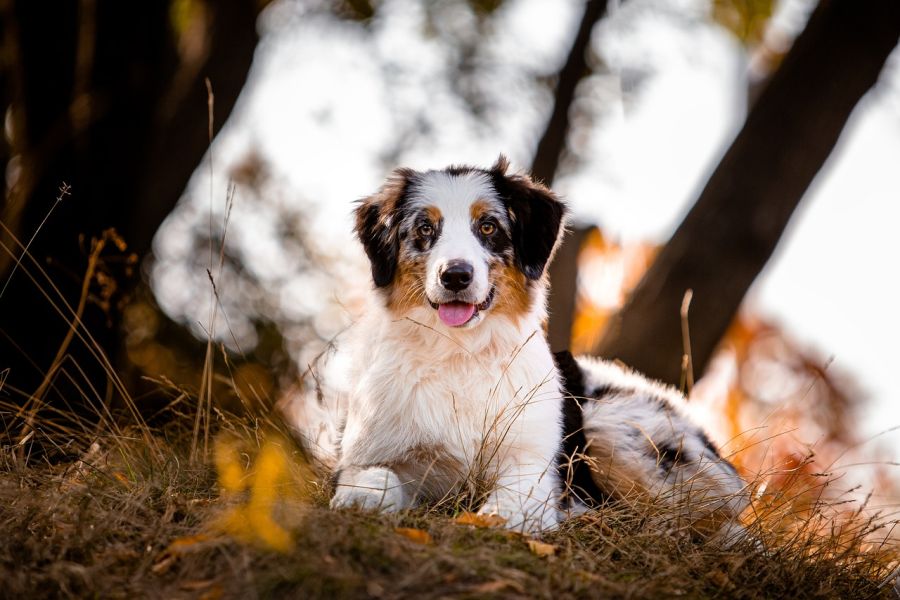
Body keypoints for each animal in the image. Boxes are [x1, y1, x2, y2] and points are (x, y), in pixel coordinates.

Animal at [284, 155, 748, 540]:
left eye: (488, 226)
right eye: (424, 228)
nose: (456, 275)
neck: (461, 353)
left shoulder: (533, 465)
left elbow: (510, 505)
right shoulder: (368, 452)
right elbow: (372, 478)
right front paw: (361, 500)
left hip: (613, 426)